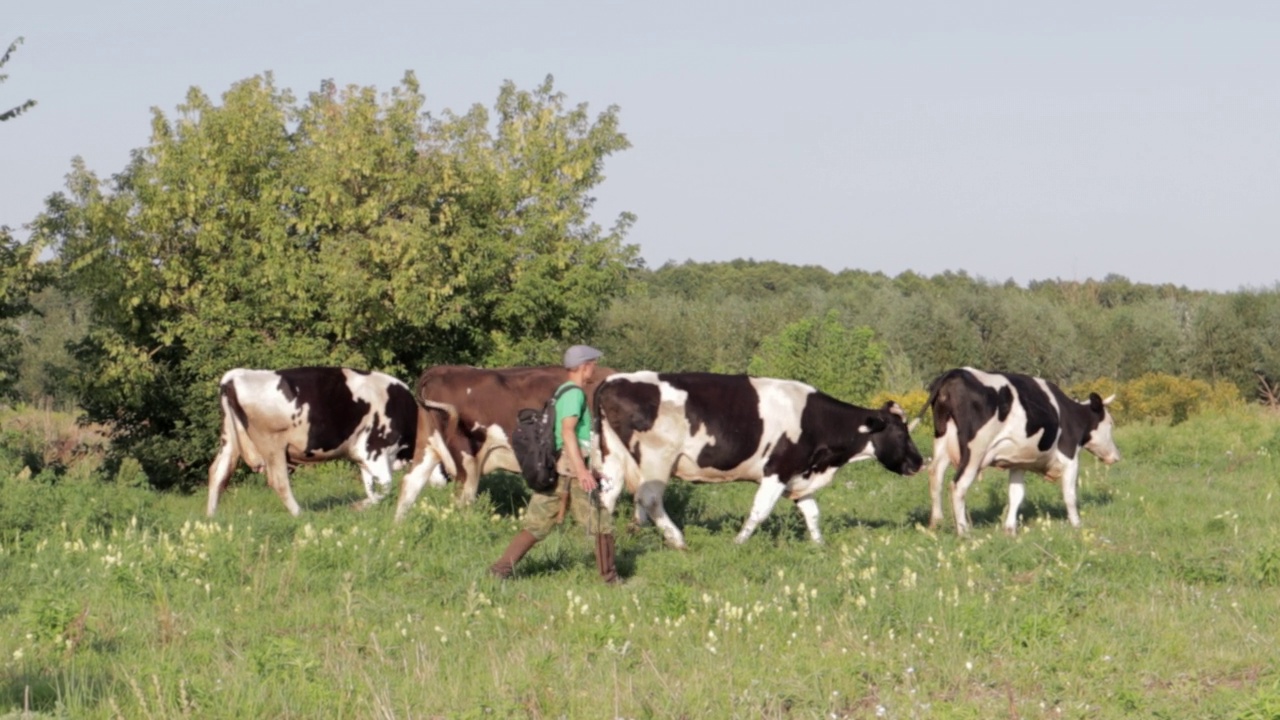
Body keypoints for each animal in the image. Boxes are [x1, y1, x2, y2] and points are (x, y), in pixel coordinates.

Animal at [204, 366, 414, 512]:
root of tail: (235, 376)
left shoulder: (363, 456)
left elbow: (371, 486)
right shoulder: (374, 450)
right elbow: (386, 485)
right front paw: (360, 506)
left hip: (230, 440)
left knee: (218, 473)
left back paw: (211, 518)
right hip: (272, 444)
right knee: (279, 481)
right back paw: (300, 514)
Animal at [593, 371, 926, 545]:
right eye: (901, 432)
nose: (919, 462)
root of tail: (614, 379)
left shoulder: (799, 475)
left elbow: (812, 513)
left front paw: (819, 546)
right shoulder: (778, 471)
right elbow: (760, 510)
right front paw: (738, 543)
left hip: (614, 457)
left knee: (610, 495)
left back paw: (610, 536)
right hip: (658, 458)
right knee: (649, 498)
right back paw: (677, 540)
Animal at [921, 363, 1121, 532]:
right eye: (1110, 423)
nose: (1117, 456)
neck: (1070, 414)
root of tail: (954, 373)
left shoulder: (1018, 462)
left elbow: (1016, 494)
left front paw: (1010, 529)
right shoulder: (1070, 457)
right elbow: (1070, 495)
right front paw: (1076, 524)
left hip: (942, 443)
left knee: (935, 476)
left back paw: (936, 523)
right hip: (974, 452)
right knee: (957, 486)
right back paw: (964, 531)